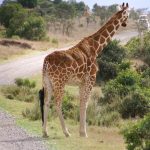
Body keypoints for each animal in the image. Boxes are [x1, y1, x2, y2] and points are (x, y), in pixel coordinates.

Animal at [39, 2, 129, 138]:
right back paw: (66, 132)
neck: (97, 48)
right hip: (59, 82)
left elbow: (81, 102)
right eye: (128, 14)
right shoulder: (91, 79)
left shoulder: (81, 82)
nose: (125, 23)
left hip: (47, 81)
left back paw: (45, 132)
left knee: (46, 102)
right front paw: (84, 133)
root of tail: (46, 62)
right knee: (58, 103)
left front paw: (81, 131)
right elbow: (85, 103)